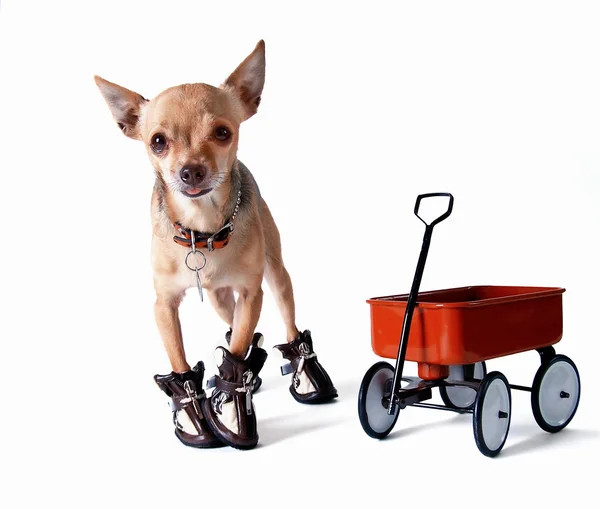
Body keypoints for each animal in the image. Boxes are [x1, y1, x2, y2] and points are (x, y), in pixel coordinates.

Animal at [96, 42, 336, 448]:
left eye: (222, 133)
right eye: (157, 142)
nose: (191, 170)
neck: (202, 231)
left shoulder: (252, 292)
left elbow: (238, 347)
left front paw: (231, 409)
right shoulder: (164, 306)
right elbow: (181, 358)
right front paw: (195, 415)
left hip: (276, 277)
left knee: (285, 323)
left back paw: (305, 371)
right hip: (220, 299)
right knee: (238, 323)